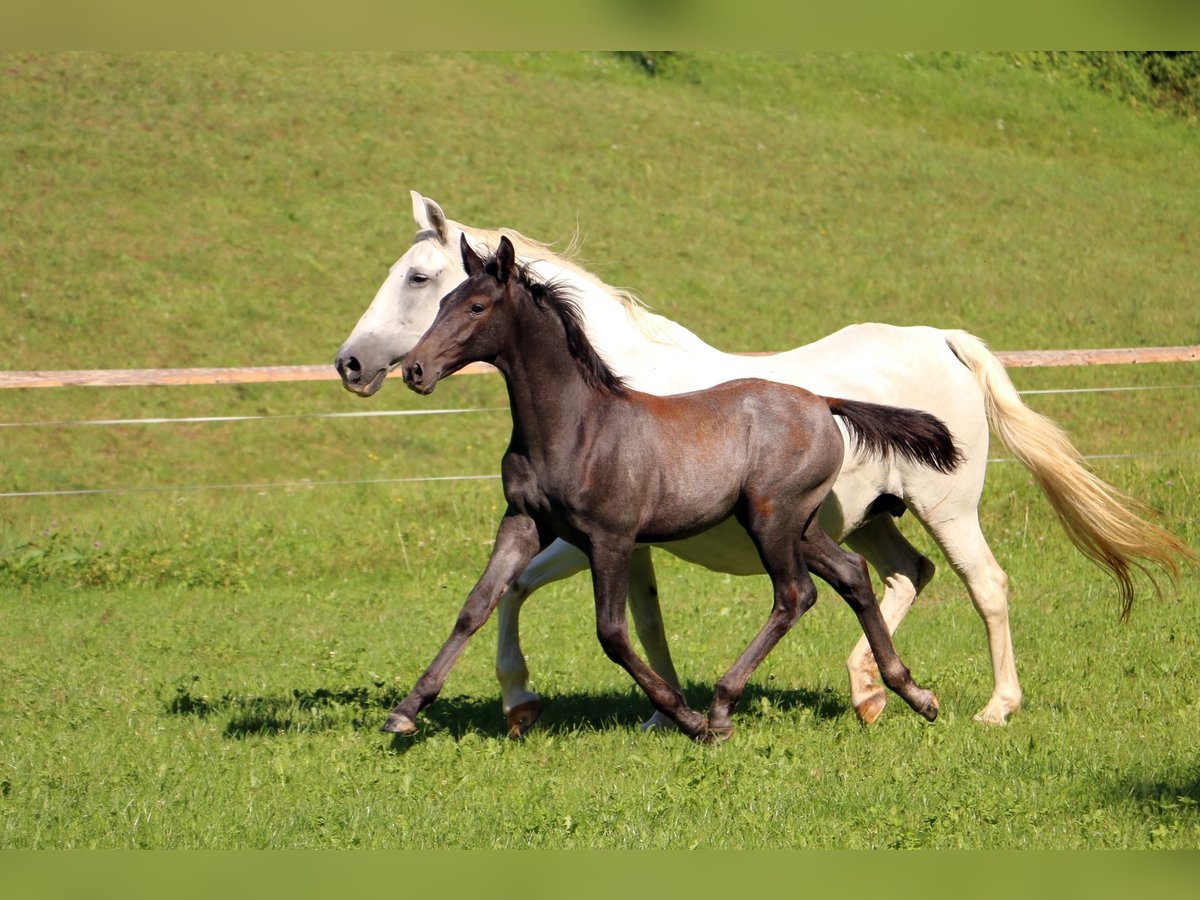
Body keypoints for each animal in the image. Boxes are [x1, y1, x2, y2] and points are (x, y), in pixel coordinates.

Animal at [336, 194, 1190, 734]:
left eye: (420, 279)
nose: (353, 364)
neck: (604, 388)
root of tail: (944, 337)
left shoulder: (601, 537)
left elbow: (534, 598)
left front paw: (526, 701)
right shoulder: (618, 539)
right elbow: (603, 613)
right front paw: (659, 711)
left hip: (942, 508)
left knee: (983, 586)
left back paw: (993, 706)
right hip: (862, 520)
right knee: (897, 576)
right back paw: (875, 691)